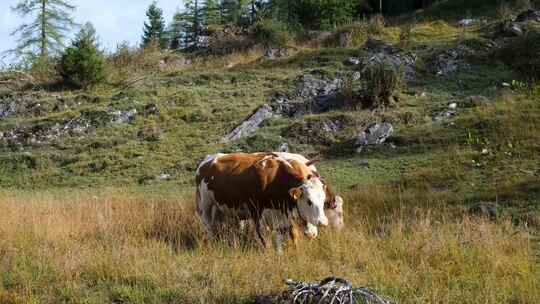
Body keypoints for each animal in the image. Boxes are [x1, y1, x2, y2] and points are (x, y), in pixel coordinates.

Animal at [195, 152, 326, 249]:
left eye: (323, 201)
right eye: (309, 201)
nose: (323, 223)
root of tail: (210, 158)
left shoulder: (283, 214)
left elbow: (289, 235)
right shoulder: (257, 212)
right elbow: (264, 238)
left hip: (220, 206)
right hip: (206, 204)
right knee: (208, 224)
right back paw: (211, 242)